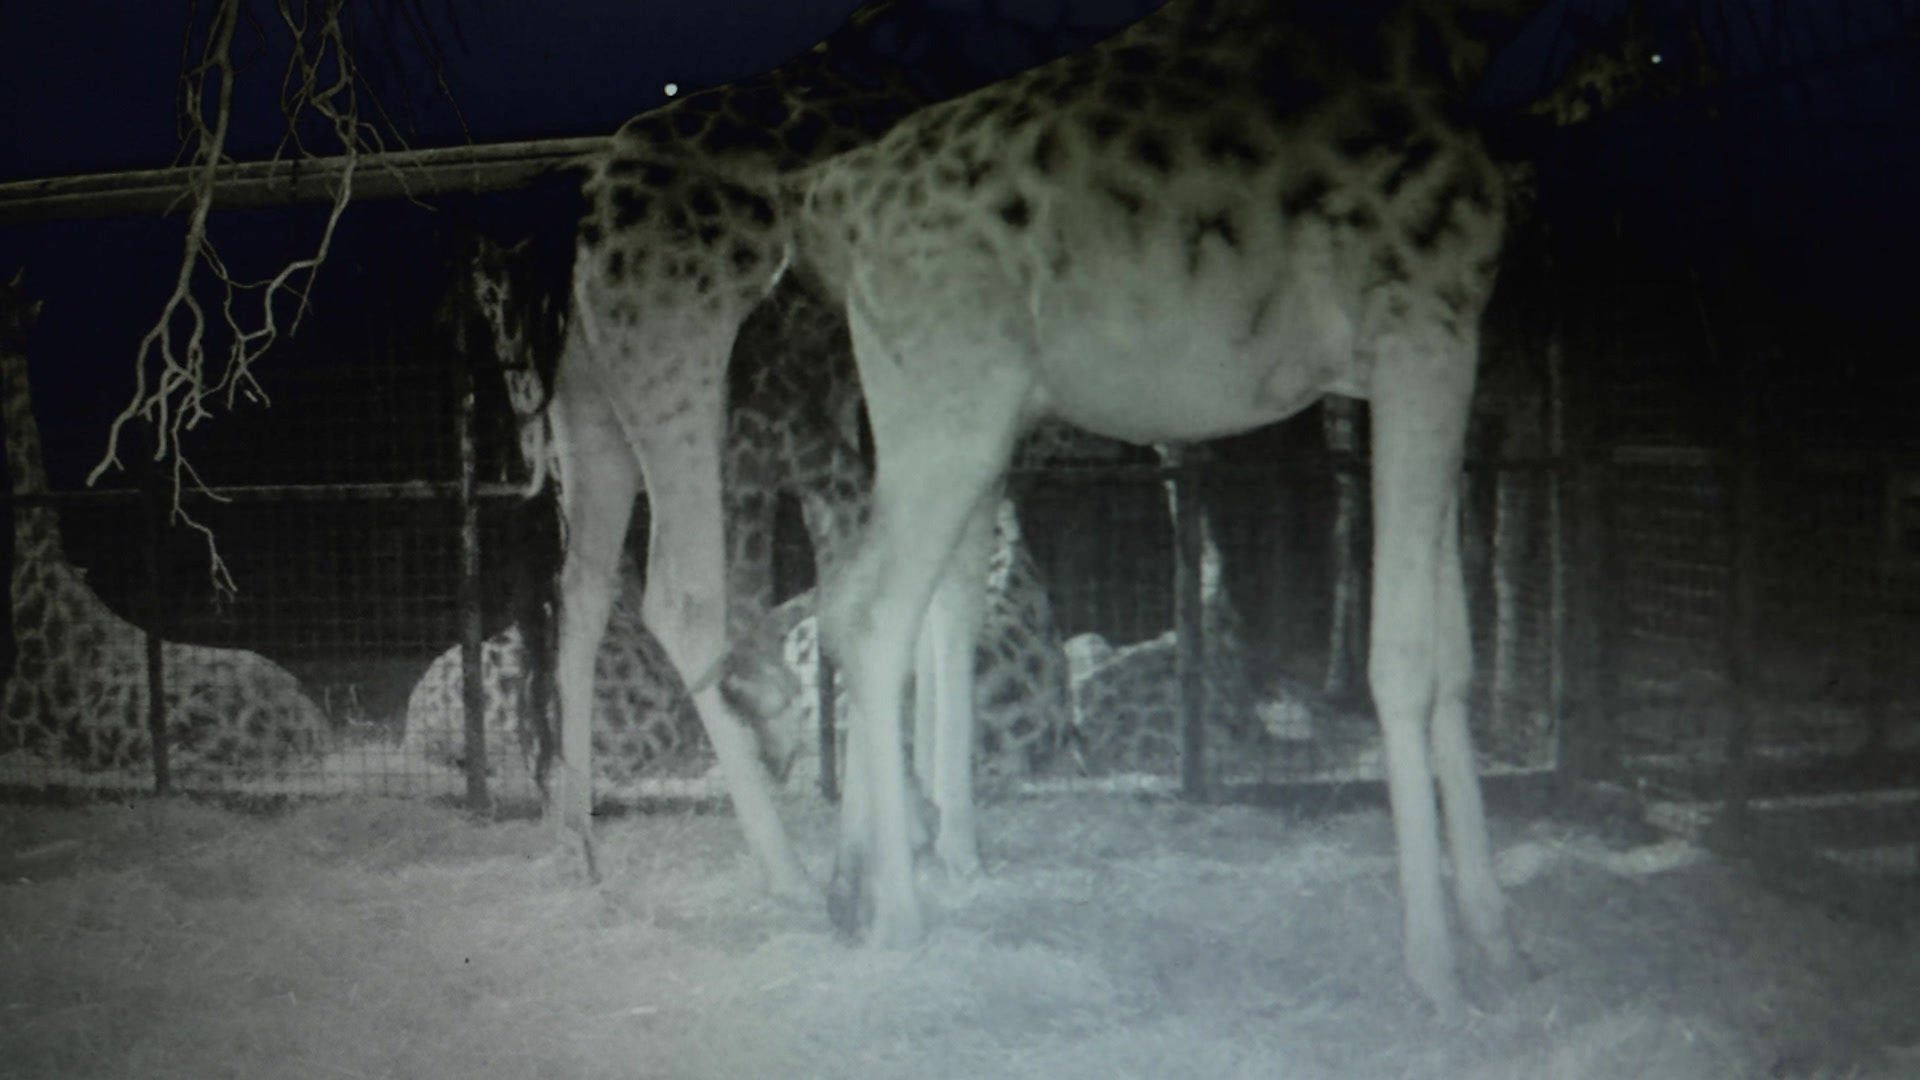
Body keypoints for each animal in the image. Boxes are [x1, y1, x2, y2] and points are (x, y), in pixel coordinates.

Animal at [779, 0, 1681, 1006]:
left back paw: (856, 887)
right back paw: (898, 916)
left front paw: (1499, 939)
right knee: (870, 612)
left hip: (942, 414)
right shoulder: (1422, 331)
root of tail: (835, 200)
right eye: (1649, 51)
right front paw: (1437, 969)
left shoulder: (1431, 358)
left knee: (878, 600)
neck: (1458, 45)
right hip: (952, 402)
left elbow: (1454, 659)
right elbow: (1404, 661)